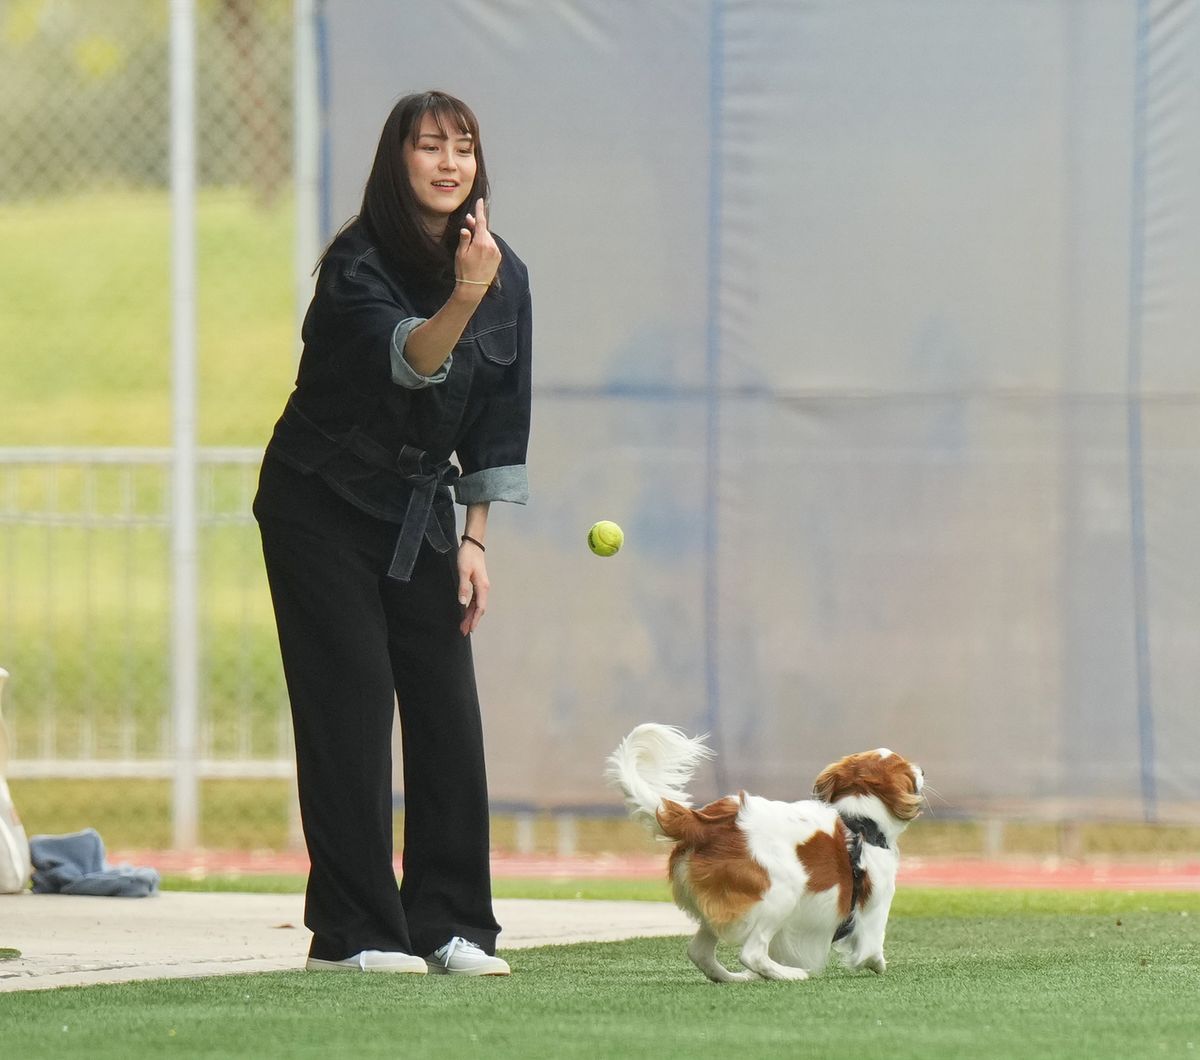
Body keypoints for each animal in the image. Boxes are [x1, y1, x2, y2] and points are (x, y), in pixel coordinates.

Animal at [604, 725, 921, 984]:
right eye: (909, 771)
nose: (922, 771)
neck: (861, 822)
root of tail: (705, 823)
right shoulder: (877, 902)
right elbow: (871, 948)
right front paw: (877, 965)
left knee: (700, 953)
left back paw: (736, 978)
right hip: (783, 893)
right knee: (752, 953)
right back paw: (790, 974)